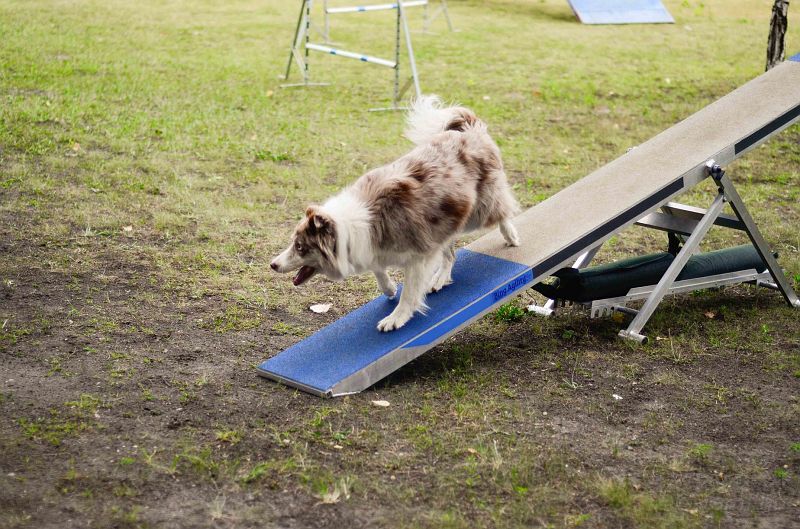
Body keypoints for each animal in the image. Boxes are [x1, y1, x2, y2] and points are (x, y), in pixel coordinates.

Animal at [270, 96, 520, 332]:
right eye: (294, 243)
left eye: (300, 247)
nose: (272, 264)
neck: (349, 229)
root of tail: (468, 129)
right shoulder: (374, 246)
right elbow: (378, 270)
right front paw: (389, 289)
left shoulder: (420, 254)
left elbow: (409, 293)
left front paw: (396, 318)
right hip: (445, 220)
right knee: (449, 254)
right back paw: (440, 278)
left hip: (476, 212)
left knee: (502, 211)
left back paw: (511, 236)